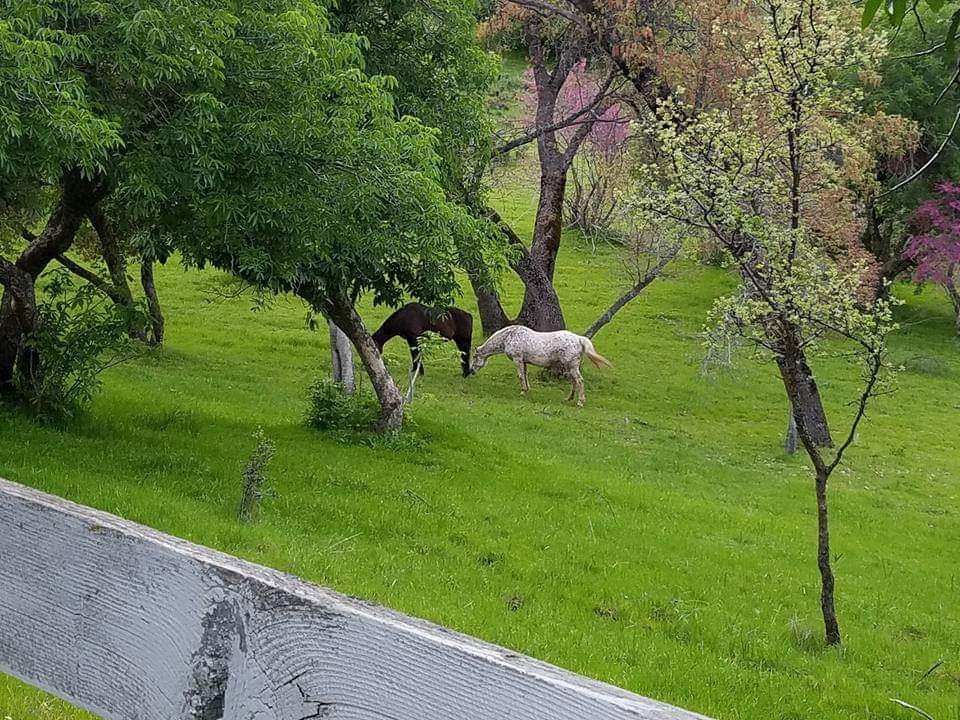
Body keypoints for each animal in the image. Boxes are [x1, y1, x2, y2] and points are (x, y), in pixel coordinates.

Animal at [468, 324, 612, 404]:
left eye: (474, 357)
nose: (471, 371)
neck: (509, 337)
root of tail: (578, 339)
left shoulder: (517, 359)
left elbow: (520, 375)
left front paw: (522, 391)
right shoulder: (524, 361)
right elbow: (525, 375)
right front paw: (527, 390)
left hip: (571, 366)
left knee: (579, 381)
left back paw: (580, 402)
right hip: (568, 367)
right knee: (574, 382)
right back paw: (569, 399)